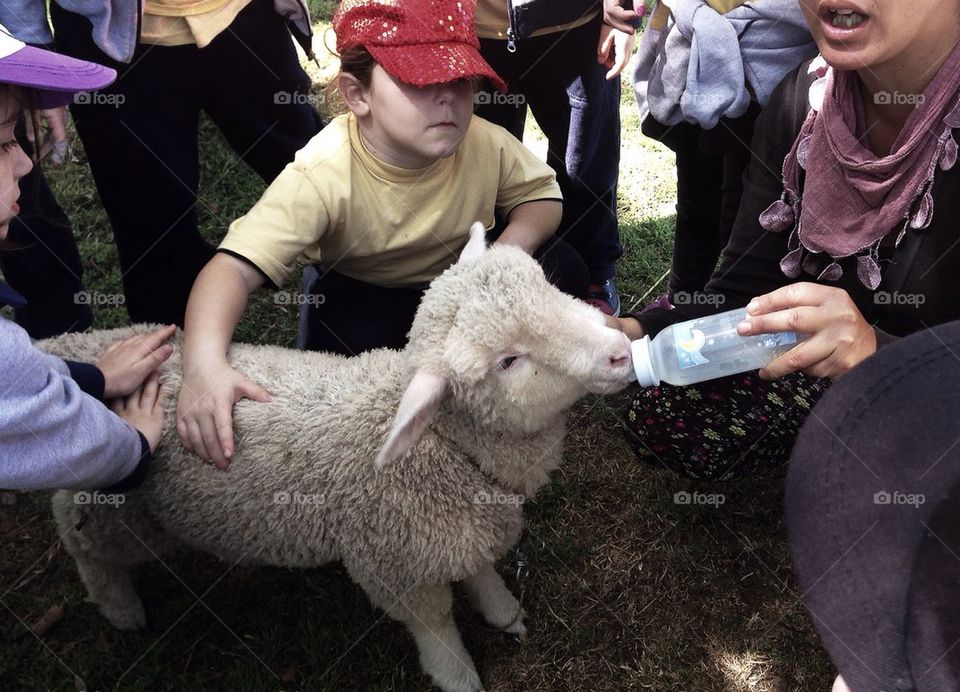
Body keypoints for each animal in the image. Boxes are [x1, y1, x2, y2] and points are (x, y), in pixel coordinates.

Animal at [39, 224, 634, 692]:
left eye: (547, 286)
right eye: (508, 361)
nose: (621, 352)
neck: (448, 450)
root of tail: (92, 350)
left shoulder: (458, 531)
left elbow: (479, 569)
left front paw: (503, 611)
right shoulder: (393, 566)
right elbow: (437, 626)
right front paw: (459, 677)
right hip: (122, 510)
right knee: (81, 538)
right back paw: (121, 610)